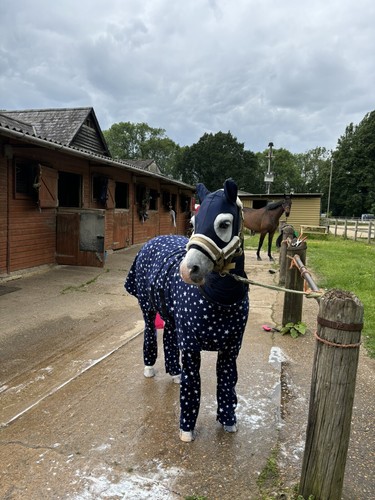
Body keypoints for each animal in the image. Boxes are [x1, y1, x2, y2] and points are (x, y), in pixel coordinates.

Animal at [125, 179, 251, 442]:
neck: (218, 297)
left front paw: (228, 422)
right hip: (148, 309)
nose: (187, 270)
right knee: (151, 333)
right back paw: (150, 369)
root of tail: (153, 240)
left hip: (171, 317)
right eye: (193, 222)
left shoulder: (231, 349)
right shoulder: (192, 346)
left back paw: (174, 372)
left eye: (224, 224)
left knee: (169, 337)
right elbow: (192, 386)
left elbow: (227, 384)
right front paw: (186, 430)